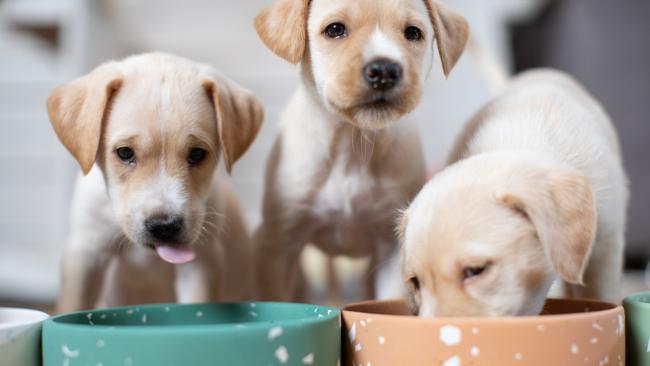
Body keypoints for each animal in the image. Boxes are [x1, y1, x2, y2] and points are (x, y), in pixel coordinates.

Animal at [46, 53, 264, 314]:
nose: (164, 227)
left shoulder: (200, 263)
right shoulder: (85, 253)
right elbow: (72, 304)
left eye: (197, 154)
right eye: (124, 153)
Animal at [251, 0, 468, 300]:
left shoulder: (391, 248)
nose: (384, 71)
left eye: (413, 33)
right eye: (334, 29)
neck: (352, 145)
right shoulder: (278, 244)